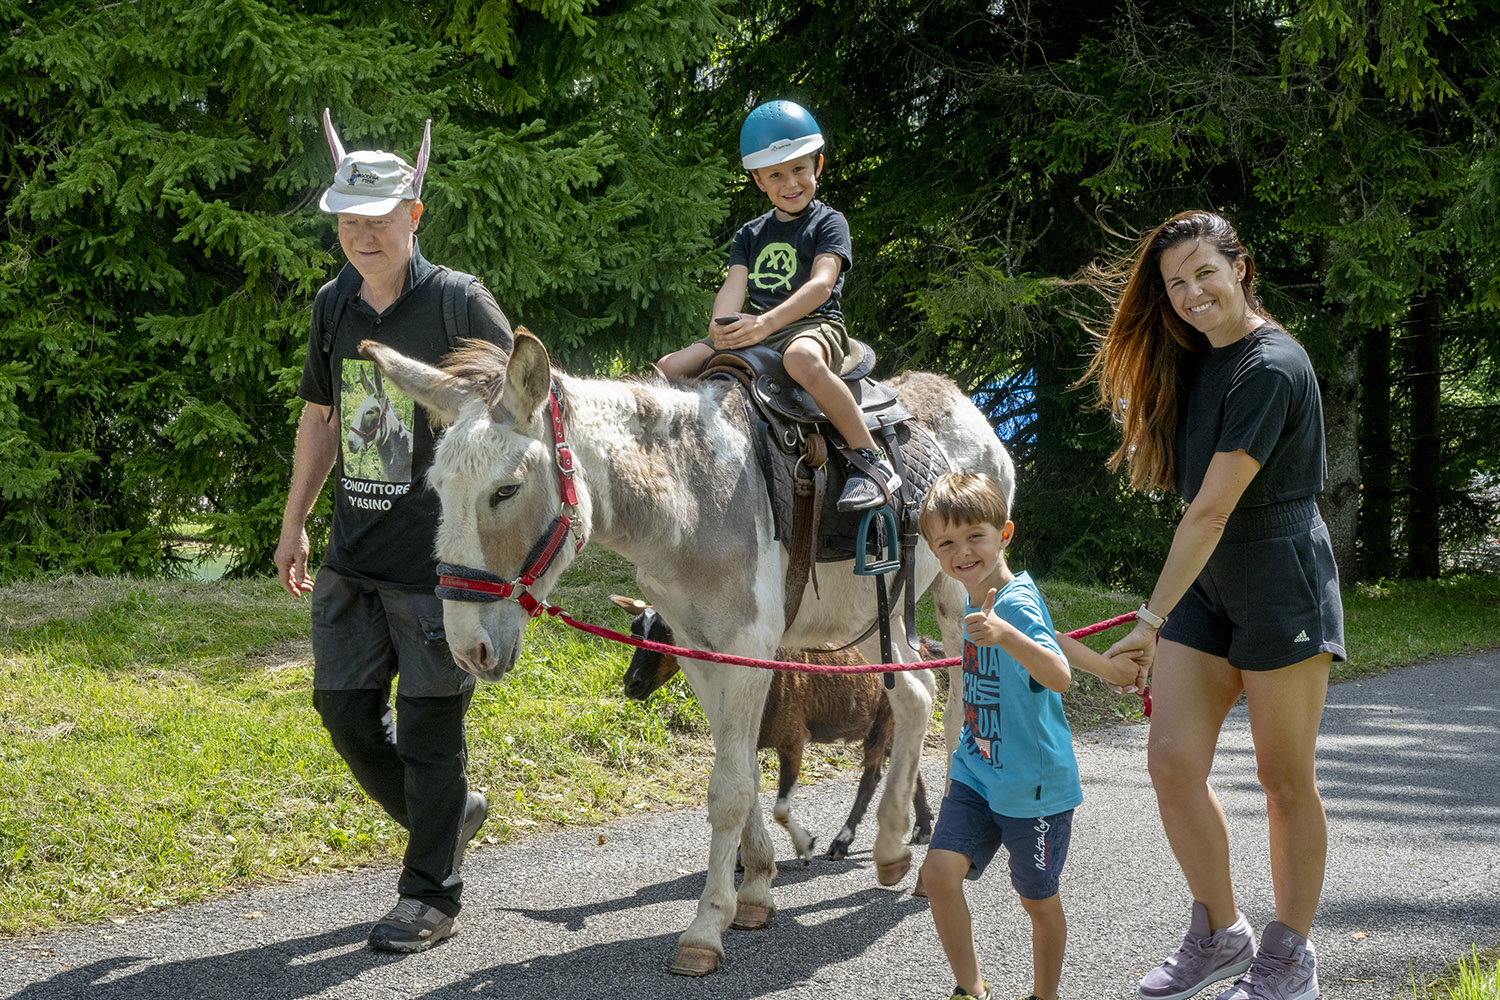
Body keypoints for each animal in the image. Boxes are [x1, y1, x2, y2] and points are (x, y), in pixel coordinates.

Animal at [615, 593, 930, 863]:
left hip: (883, 718)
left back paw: (842, 841)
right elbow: (748, 797)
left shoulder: (793, 737)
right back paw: (923, 828)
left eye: (668, 633)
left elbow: (779, 807)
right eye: (634, 631)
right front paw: (744, 855)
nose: (632, 683)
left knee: (871, 776)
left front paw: (804, 844)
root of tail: (923, 646)